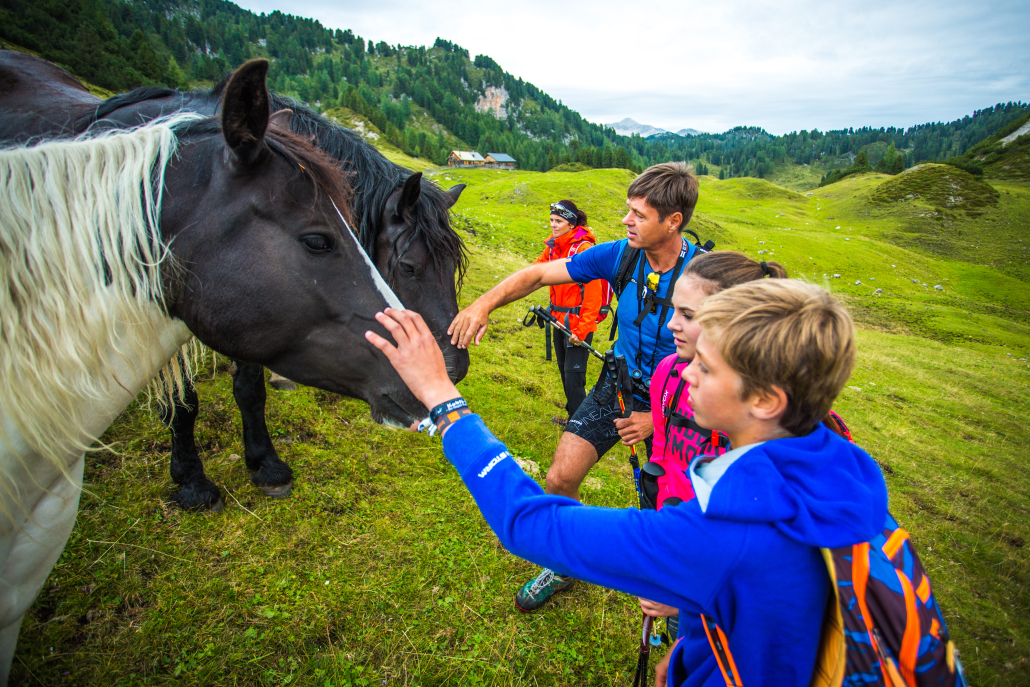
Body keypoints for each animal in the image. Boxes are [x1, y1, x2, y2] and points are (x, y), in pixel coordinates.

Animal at [0, 50, 470, 511]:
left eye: (453, 267)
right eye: (408, 267)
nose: (454, 367)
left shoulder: (251, 317)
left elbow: (249, 390)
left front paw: (265, 463)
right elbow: (182, 402)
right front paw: (192, 480)